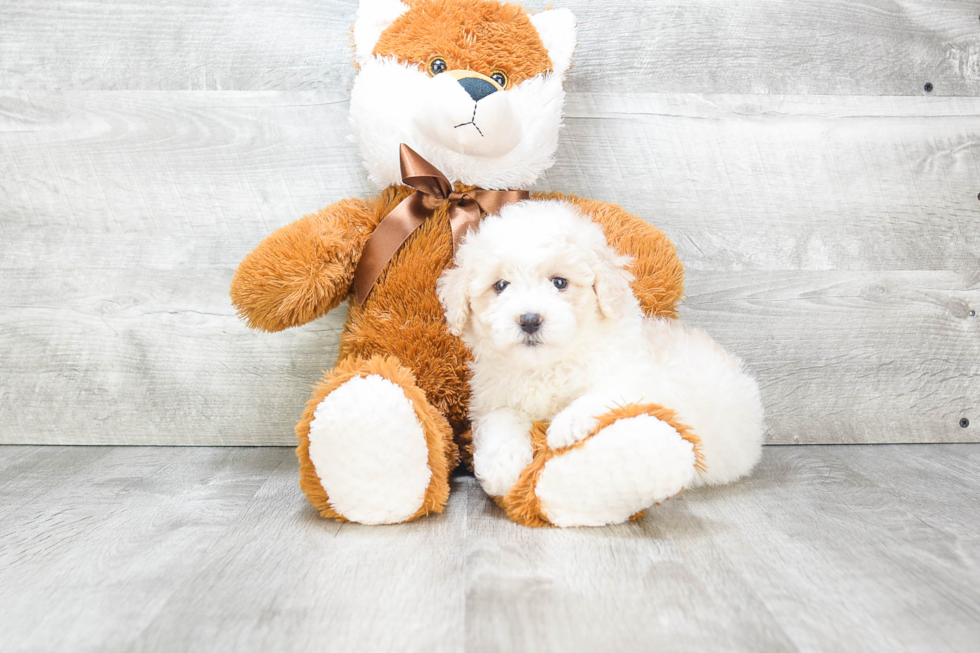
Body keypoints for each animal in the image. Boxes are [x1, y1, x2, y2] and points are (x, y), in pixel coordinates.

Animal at [436, 199, 764, 520]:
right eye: (501, 286)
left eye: (559, 282)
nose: (529, 320)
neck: (547, 365)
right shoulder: (493, 398)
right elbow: (501, 419)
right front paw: (501, 467)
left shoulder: (640, 378)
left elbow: (606, 392)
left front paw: (565, 426)